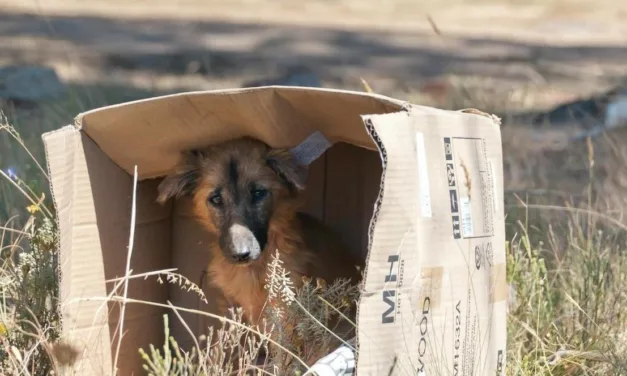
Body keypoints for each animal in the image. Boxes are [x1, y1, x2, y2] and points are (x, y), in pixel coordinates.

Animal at [156, 137, 364, 366]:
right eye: (216, 199)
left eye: (258, 193)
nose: (240, 255)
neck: (254, 270)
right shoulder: (234, 308)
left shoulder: (284, 315)